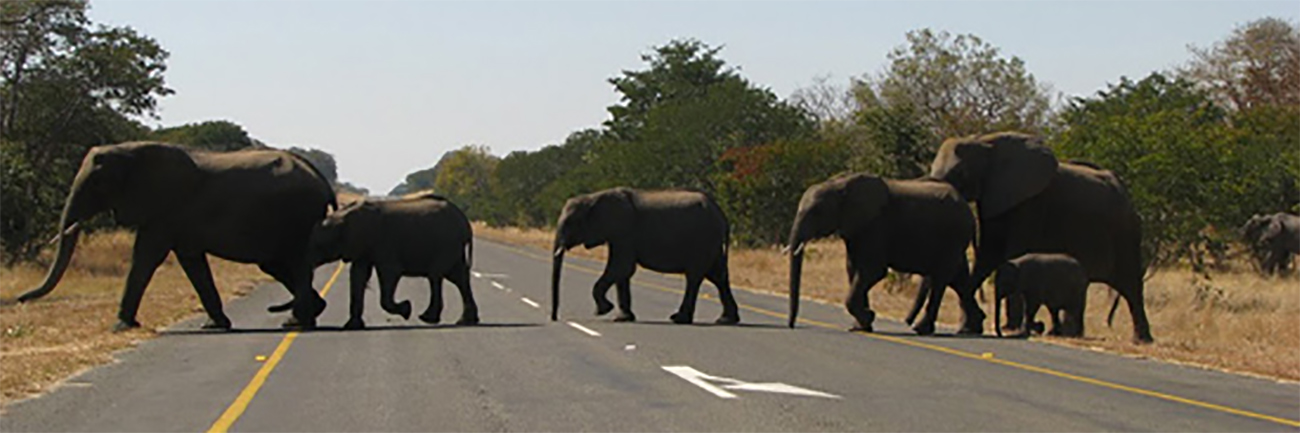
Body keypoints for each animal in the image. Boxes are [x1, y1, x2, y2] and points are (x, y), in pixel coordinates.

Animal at [15, 139, 335, 328]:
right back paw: (312, 313)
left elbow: (145, 257)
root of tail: (321, 179)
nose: (20, 299)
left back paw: (296, 322)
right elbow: (192, 262)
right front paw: (215, 325)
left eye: (97, 183)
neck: (130, 150)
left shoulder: (166, 208)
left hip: (296, 214)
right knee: (275, 265)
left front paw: (121, 326)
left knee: (294, 263)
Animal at [308, 192, 478, 327]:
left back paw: (427, 318)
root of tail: (465, 222)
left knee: (437, 276)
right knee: (459, 278)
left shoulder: (383, 243)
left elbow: (389, 273)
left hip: (446, 244)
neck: (343, 216)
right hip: (453, 247)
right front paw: (352, 326)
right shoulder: (363, 247)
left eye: (318, 245)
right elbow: (358, 275)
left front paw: (407, 309)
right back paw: (465, 321)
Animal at [543, 185, 738, 323]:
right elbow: (622, 272)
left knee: (695, 277)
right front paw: (623, 318)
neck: (594, 197)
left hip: (702, 240)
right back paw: (725, 320)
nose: (554, 318)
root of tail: (722, 216)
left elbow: (621, 267)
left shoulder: (624, 231)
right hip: (711, 243)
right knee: (718, 276)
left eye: (570, 223)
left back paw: (679, 319)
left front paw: (603, 310)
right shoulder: (617, 235)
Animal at [780, 171, 977, 332]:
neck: (838, 185)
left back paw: (921, 329)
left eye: (816, 212)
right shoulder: (855, 229)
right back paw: (969, 329)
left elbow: (872, 271)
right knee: (958, 279)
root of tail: (967, 207)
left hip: (953, 236)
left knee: (940, 279)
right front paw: (861, 326)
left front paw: (869, 317)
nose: (791, 325)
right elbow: (853, 270)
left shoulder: (875, 225)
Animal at [925, 130, 1149, 340]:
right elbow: (988, 256)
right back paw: (1068, 333)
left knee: (1131, 285)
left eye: (961, 173)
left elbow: (1011, 254)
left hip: (1126, 233)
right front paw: (967, 328)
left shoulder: (1030, 204)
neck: (986, 142)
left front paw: (1010, 328)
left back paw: (1141, 340)